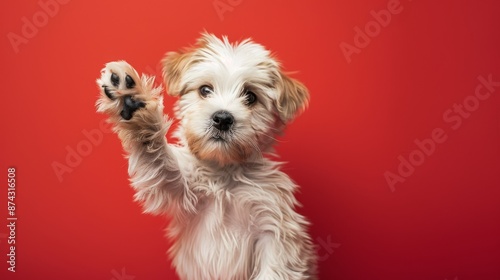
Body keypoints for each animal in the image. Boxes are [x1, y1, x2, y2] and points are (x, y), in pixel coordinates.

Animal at [95, 34, 318, 278]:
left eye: (250, 96)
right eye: (205, 90)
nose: (222, 118)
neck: (225, 173)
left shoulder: (275, 231)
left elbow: (274, 269)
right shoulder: (180, 188)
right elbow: (159, 162)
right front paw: (132, 101)